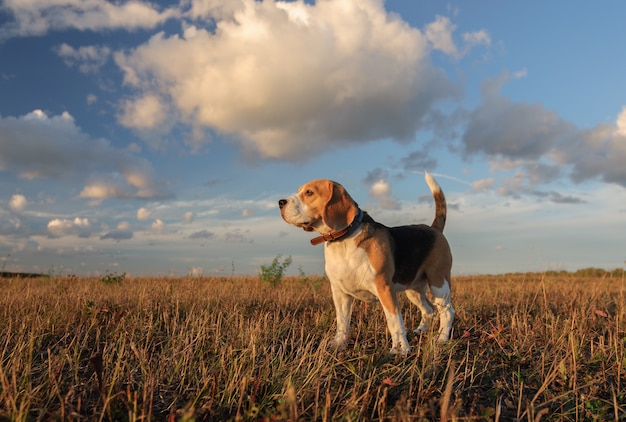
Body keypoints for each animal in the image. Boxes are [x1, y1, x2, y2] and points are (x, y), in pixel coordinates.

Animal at [280, 173, 454, 354]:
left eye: (309, 192)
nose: (280, 202)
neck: (343, 240)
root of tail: (434, 229)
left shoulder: (385, 288)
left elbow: (394, 321)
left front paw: (400, 349)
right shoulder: (340, 292)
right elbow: (342, 322)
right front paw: (338, 344)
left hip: (439, 284)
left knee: (447, 311)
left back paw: (442, 338)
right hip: (413, 290)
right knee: (429, 310)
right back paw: (421, 330)